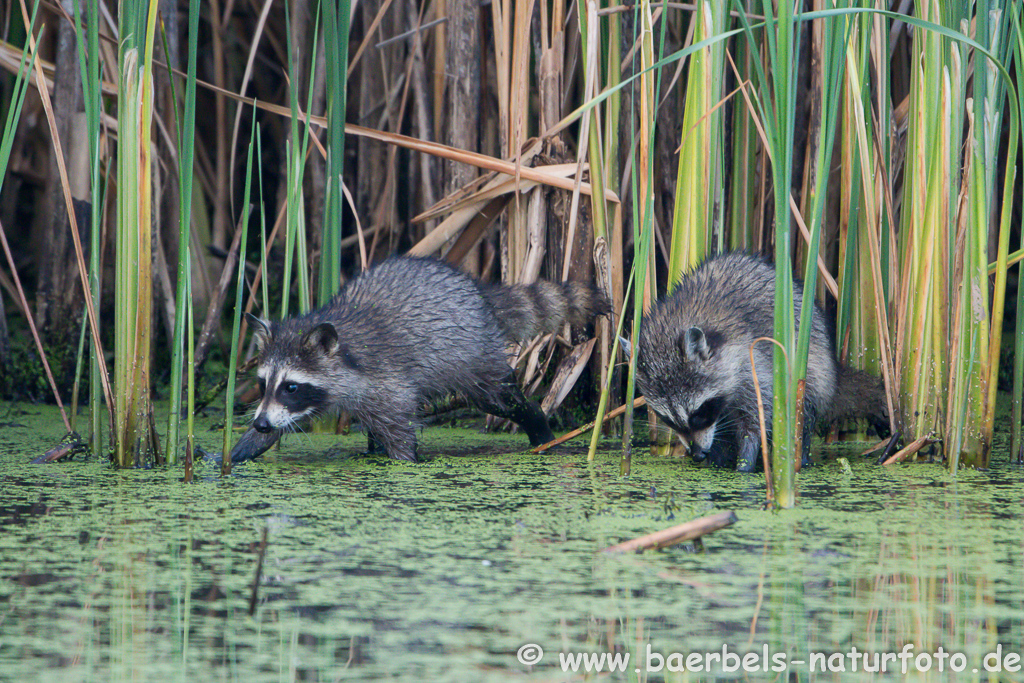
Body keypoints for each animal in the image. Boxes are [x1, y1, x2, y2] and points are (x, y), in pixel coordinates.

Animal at [230, 255, 606, 464]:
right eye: (262, 384)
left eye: (291, 387)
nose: (259, 423)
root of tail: (480, 294)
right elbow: (278, 424)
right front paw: (239, 451)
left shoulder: (387, 384)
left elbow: (401, 440)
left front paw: (406, 462)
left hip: (474, 354)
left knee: (502, 399)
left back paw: (538, 426)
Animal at [630, 253, 888, 473]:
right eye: (667, 419)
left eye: (699, 414)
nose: (697, 455)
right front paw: (716, 461)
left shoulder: (754, 365)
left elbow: (754, 425)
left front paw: (744, 465)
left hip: (813, 373)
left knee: (802, 420)